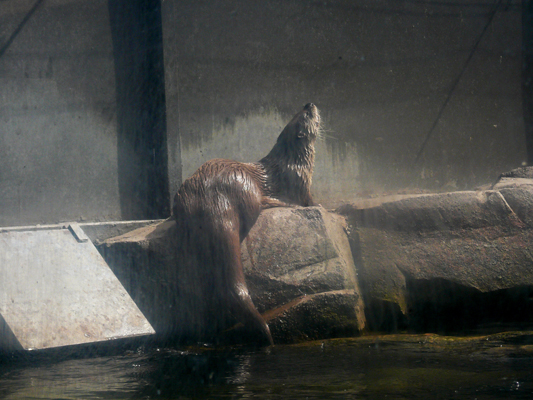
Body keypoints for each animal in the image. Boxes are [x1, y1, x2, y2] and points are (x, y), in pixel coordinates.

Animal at [172, 104, 320, 346]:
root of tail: (213, 197)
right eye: (307, 115)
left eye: (299, 111)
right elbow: (311, 202)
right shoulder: (301, 183)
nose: (309, 104)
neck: (295, 160)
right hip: (248, 189)